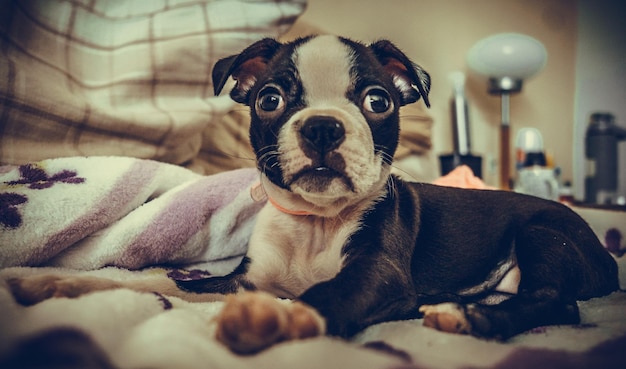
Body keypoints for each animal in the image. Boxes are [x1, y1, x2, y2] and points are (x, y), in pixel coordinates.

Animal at [178, 35, 616, 354]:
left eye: (378, 100)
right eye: (270, 99)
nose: (323, 126)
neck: (318, 221)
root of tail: (607, 257)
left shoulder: (379, 270)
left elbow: (331, 291)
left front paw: (287, 318)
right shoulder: (250, 277)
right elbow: (207, 285)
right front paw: (183, 282)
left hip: (543, 233)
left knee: (558, 301)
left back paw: (473, 318)